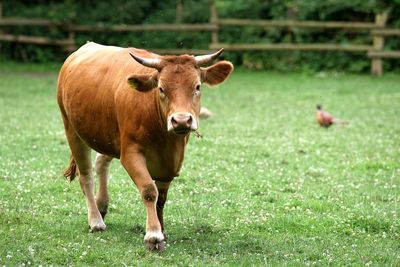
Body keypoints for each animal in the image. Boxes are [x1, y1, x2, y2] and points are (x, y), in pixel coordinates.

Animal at [55, 42, 231, 251]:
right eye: (161, 89)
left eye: (197, 87)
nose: (181, 120)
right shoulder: (130, 153)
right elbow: (149, 191)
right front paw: (153, 235)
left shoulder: (171, 163)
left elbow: (161, 198)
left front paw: (162, 230)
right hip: (72, 130)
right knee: (86, 176)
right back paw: (96, 220)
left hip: (108, 137)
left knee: (101, 162)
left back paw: (102, 205)